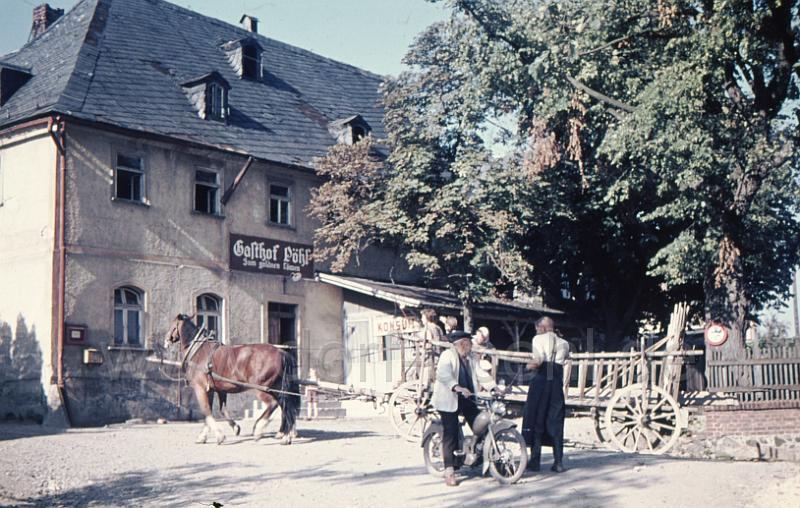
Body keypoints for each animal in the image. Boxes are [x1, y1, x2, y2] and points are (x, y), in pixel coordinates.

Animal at [164, 314, 298, 444]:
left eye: (172, 325)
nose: (166, 340)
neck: (198, 351)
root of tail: (281, 352)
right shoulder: (214, 390)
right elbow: (217, 410)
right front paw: (228, 429)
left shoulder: (200, 389)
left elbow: (206, 411)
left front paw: (219, 436)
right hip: (276, 388)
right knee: (285, 406)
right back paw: (285, 435)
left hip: (262, 388)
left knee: (273, 404)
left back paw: (259, 430)